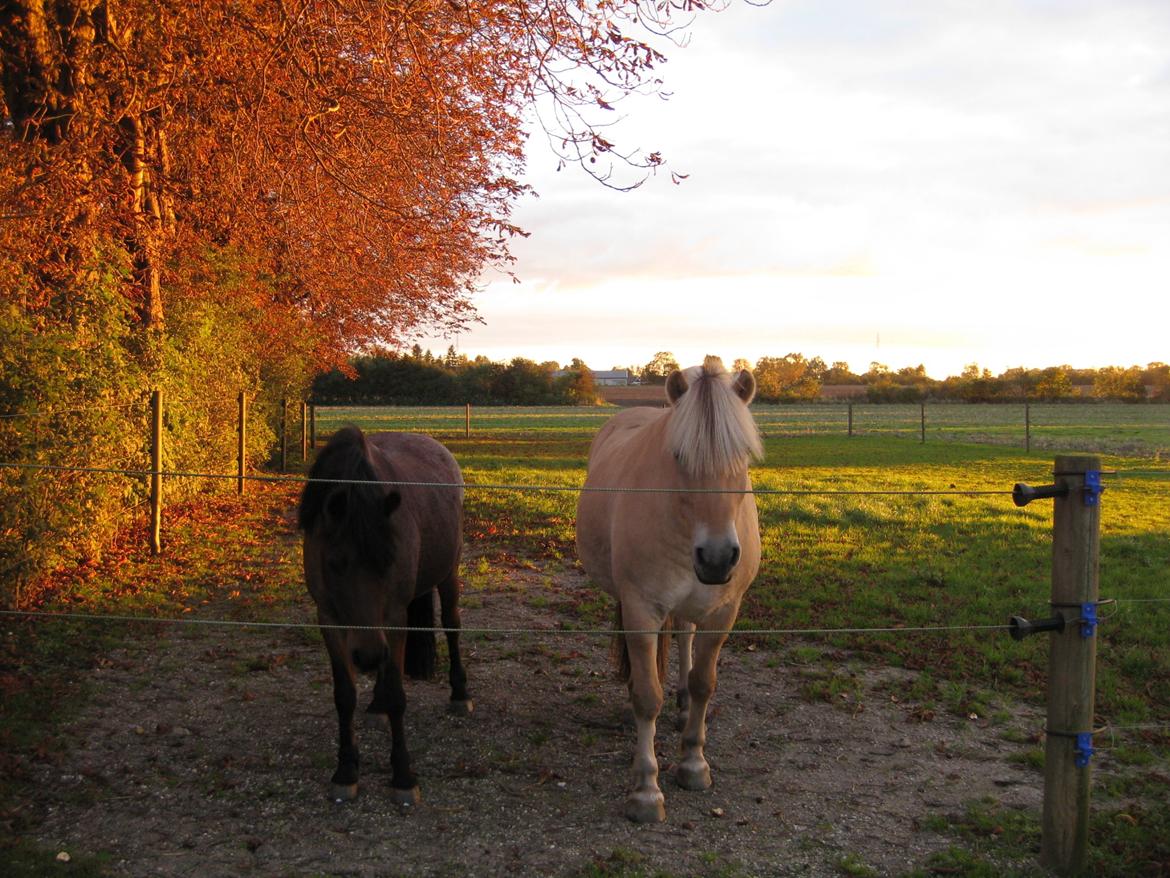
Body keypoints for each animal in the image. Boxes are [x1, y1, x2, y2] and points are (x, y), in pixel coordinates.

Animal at [297, 430, 470, 810]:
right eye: (333, 562)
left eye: (389, 560)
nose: (367, 656)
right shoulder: (329, 619)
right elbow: (344, 695)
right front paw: (346, 771)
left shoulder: (393, 618)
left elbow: (396, 694)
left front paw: (403, 776)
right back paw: (375, 705)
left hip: (449, 572)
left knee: (452, 626)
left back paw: (460, 694)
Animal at [577, 353, 767, 824]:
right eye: (679, 455)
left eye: (744, 456)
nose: (717, 558)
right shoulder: (641, 609)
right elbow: (647, 695)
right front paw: (646, 790)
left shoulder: (724, 611)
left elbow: (704, 683)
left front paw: (694, 763)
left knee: (683, 634)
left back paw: (681, 706)